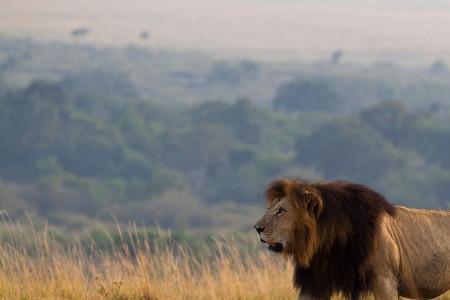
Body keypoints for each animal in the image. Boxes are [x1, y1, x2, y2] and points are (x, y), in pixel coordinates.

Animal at [253, 179, 450, 298]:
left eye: (281, 211)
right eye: (270, 209)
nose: (257, 228)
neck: (328, 244)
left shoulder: (384, 280)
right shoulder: (314, 282)